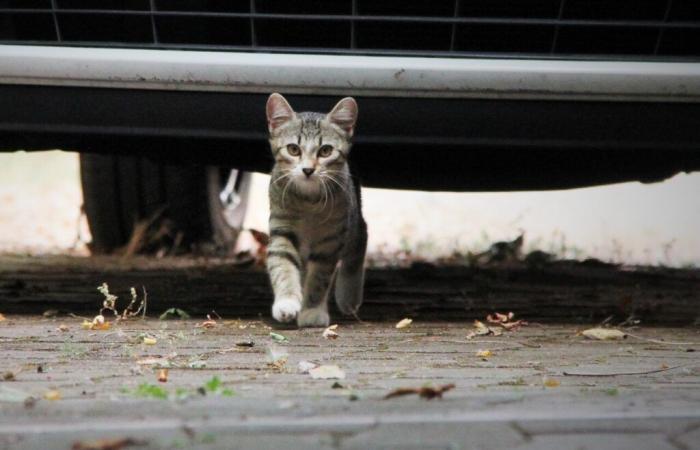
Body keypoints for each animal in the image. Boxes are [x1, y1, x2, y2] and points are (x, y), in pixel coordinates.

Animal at [266, 94, 370, 326]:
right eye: (293, 149)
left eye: (325, 151)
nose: (307, 170)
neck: (308, 201)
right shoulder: (281, 228)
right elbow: (283, 264)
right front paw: (287, 302)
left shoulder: (330, 240)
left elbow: (319, 278)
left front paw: (312, 311)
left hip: (351, 224)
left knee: (360, 239)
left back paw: (348, 296)